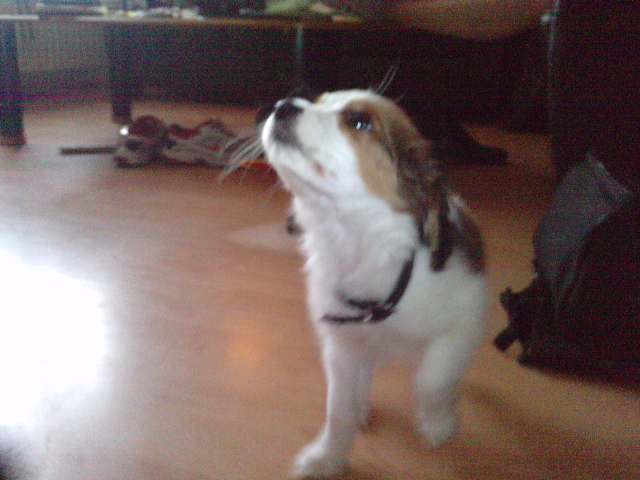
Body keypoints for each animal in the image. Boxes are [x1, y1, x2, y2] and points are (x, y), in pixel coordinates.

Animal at [260, 90, 487, 478]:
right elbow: (337, 410)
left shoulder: (465, 322)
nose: (283, 105)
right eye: (318, 101)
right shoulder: (340, 343)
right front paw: (329, 458)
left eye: (360, 121)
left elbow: (431, 380)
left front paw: (437, 423)